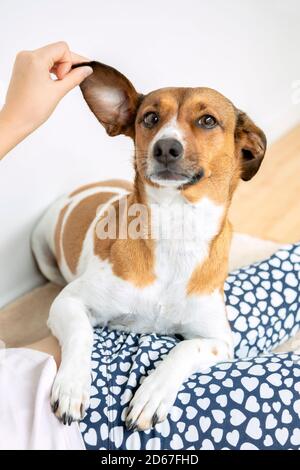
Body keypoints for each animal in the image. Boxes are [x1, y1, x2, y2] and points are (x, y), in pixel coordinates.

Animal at [32, 61, 268, 430]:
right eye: (150, 118)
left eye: (208, 120)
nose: (166, 147)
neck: (177, 227)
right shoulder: (68, 303)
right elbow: (82, 333)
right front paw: (72, 386)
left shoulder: (218, 340)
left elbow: (184, 350)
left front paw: (152, 395)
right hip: (42, 251)